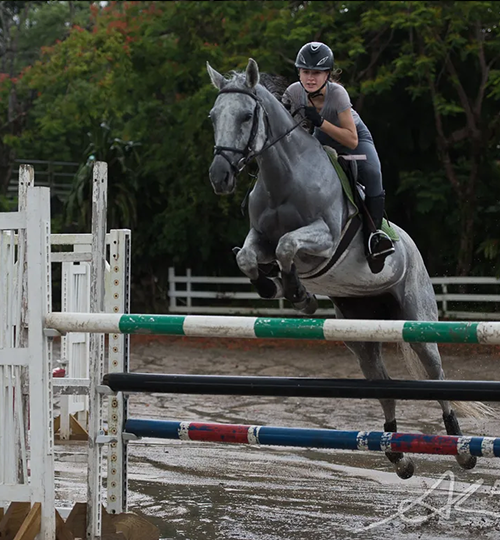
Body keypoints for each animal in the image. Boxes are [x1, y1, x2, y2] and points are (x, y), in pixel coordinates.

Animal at [206, 59, 480, 478]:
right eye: (213, 116)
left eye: (247, 115)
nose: (219, 176)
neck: (284, 176)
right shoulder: (258, 237)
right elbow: (248, 257)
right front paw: (276, 287)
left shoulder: (324, 240)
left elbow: (288, 246)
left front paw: (298, 294)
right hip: (360, 332)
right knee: (382, 383)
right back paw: (397, 455)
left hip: (418, 323)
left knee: (436, 376)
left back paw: (461, 448)